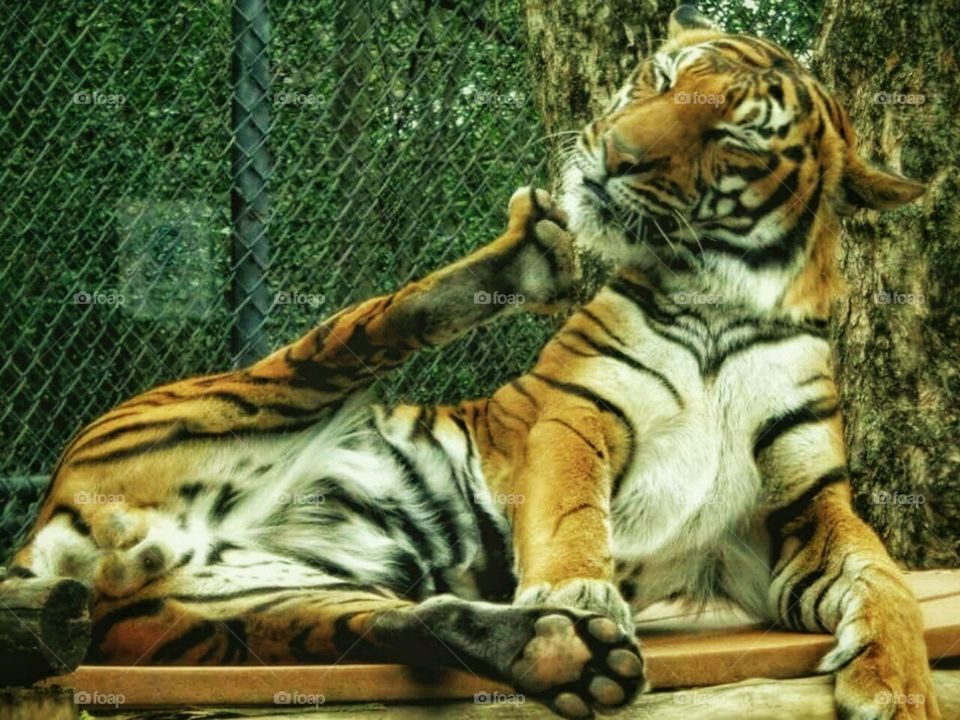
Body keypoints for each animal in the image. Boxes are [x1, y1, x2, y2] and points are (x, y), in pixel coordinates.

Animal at [8, 5, 937, 719]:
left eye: (732, 136)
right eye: (659, 79)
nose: (615, 155)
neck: (723, 300)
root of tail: (56, 539)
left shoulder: (806, 509)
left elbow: (884, 580)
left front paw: (901, 690)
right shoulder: (575, 415)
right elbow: (570, 515)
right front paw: (579, 591)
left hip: (255, 610)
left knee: (398, 624)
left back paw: (560, 654)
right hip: (249, 399)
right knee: (379, 322)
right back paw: (526, 259)